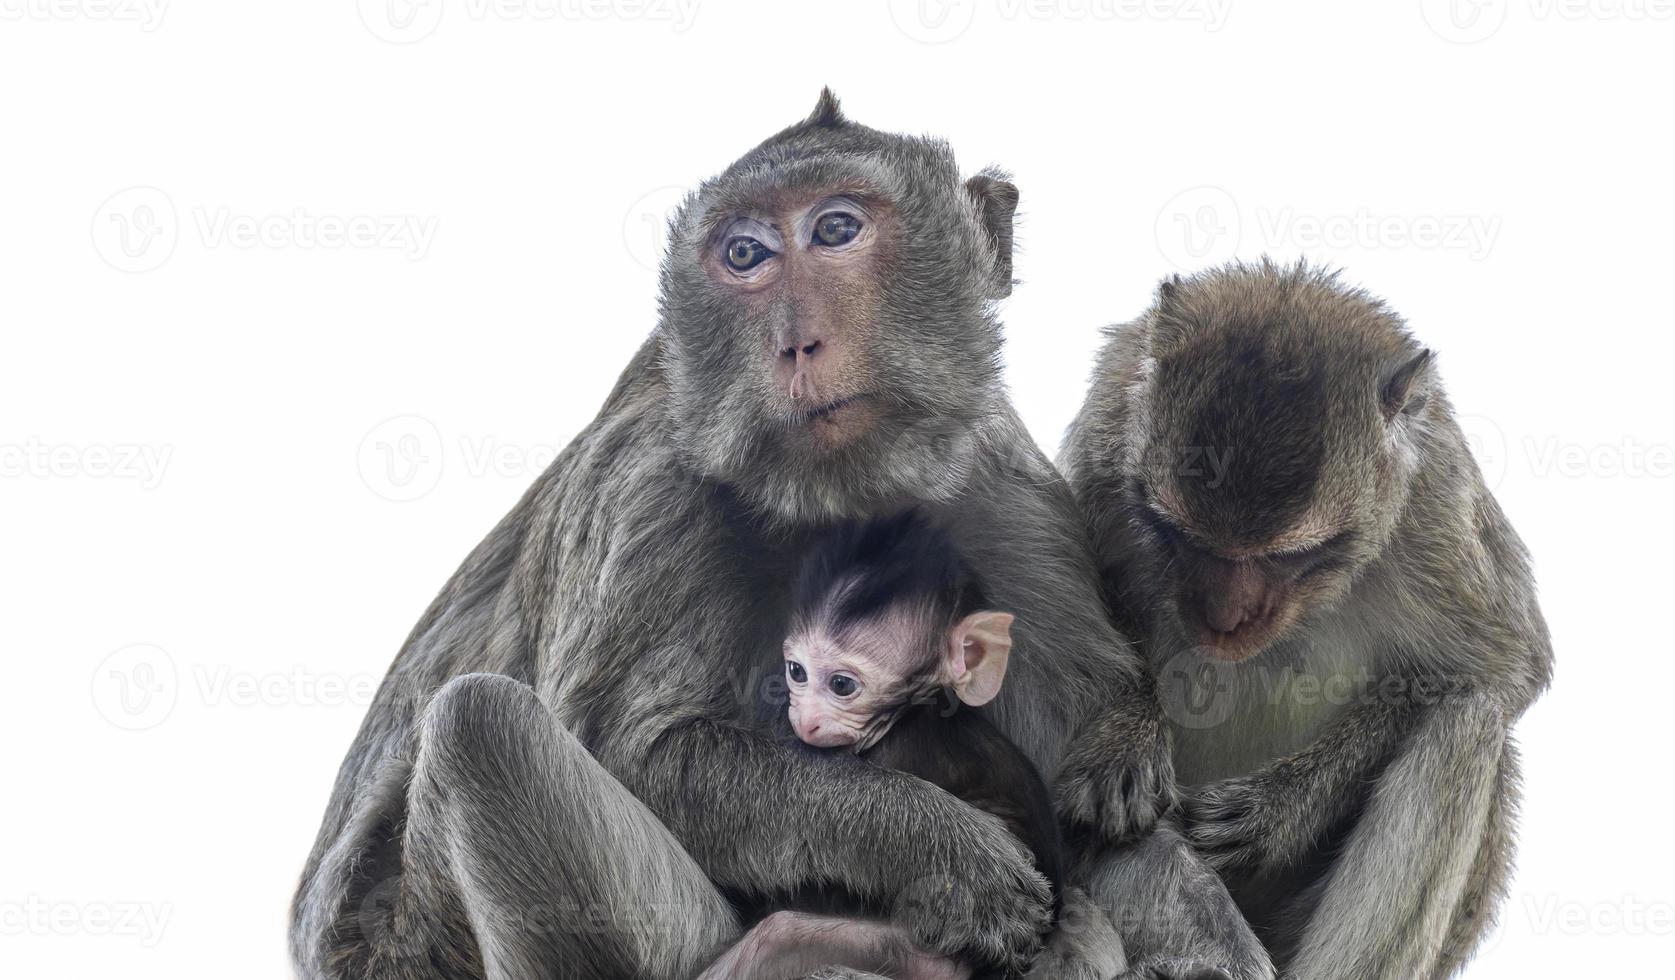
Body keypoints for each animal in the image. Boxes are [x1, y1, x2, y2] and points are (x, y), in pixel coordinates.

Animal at [294, 91, 1259, 978]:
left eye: (835, 229)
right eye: (745, 254)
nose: (795, 343)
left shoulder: (999, 488)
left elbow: (1085, 810)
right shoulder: (648, 495)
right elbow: (637, 751)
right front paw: (937, 849)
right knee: (481, 724)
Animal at [1058, 261, 1554, 978]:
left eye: (1290, 556)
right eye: (1174, 533)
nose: (1223, 620)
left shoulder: (1437, 505)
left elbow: (1505, 670)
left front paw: (1282, 808)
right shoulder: (1106, 428)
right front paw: (1130, 726)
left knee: (1467, 721)